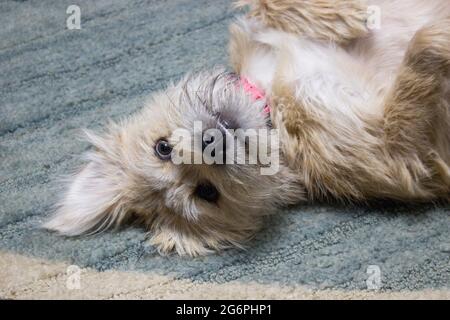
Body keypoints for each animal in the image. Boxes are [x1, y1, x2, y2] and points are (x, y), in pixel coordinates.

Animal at [44, 0, 450, 255]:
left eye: (162, 148)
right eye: (207, 193)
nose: (212, 141)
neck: (272, 102)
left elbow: (265, 4)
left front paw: (341, 15)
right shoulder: (395, 153)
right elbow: (415, 75)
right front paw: (436, 36)